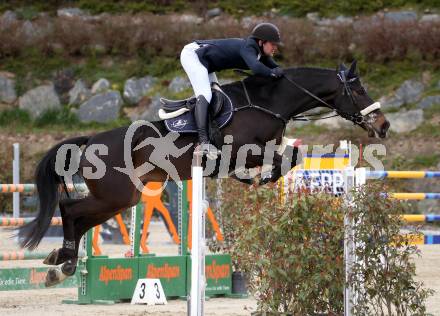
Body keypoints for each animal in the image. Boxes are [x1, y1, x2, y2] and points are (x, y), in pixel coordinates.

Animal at [18, 61, 388, 286]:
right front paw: (261, 178)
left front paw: (256, 178)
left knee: (81, 219)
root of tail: (92, 138)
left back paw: (63, 262)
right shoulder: (241, 151)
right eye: (358, 91)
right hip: (115, 195)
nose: (383, 126)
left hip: (120, 200)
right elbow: (287, 157)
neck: (268, 102)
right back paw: (63, 260)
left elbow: (289, 156)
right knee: (70, 210)